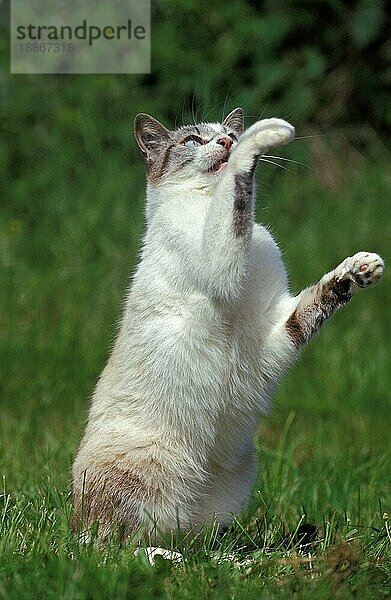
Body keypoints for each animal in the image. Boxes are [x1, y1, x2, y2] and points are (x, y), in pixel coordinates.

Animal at [72, 109, 384, 544]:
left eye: (226, 133)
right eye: (194, 140)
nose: (226, 142)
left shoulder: (273, 330)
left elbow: (319, 298)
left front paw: (361, 268)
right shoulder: (220, 262)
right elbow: (236, 193)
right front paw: (267, 134)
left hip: (233, 483)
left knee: (194, 542)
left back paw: (227, 555)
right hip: (148, 471)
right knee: (115, 544)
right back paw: (161, 555)